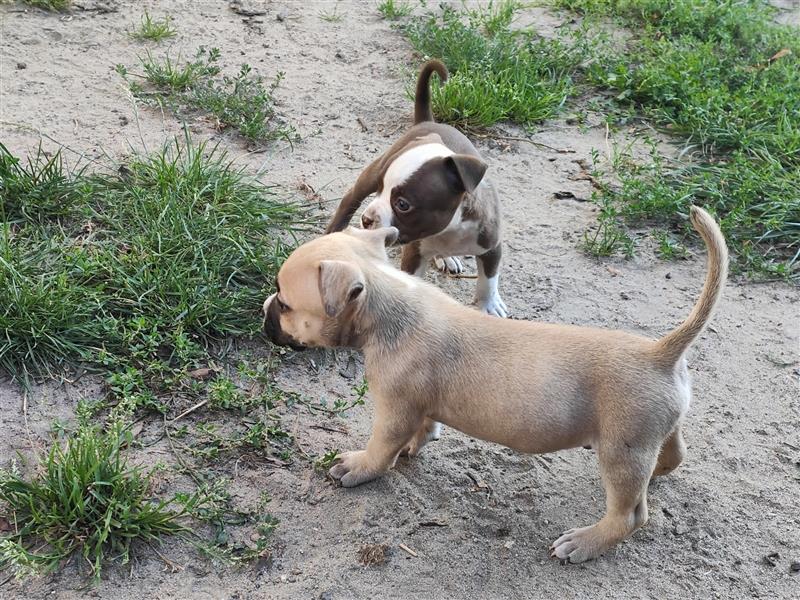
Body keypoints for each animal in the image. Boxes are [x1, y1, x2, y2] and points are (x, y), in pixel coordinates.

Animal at [264, 207, 732, 564]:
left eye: (284, 303)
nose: (264, 309)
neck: (387, 303)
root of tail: (660, 353)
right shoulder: (420, 408)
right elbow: (425, 429)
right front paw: (415, 447)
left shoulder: (394, 410)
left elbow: (381, 450)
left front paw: (360, 467)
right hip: (649, 434)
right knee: (672, 456)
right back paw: (656, 475)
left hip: (621, 451)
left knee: (629, 516)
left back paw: (585, 542)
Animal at [322, 61, 504, 318]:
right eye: (381, 188)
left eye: (403, 205)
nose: (367, 219)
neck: (450, 230)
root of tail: (428, 122)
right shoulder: (414, 254)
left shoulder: (491, 245)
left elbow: (489, 279)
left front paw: (489, 305)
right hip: (372, 172)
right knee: (350, 199)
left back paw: (448, 259)